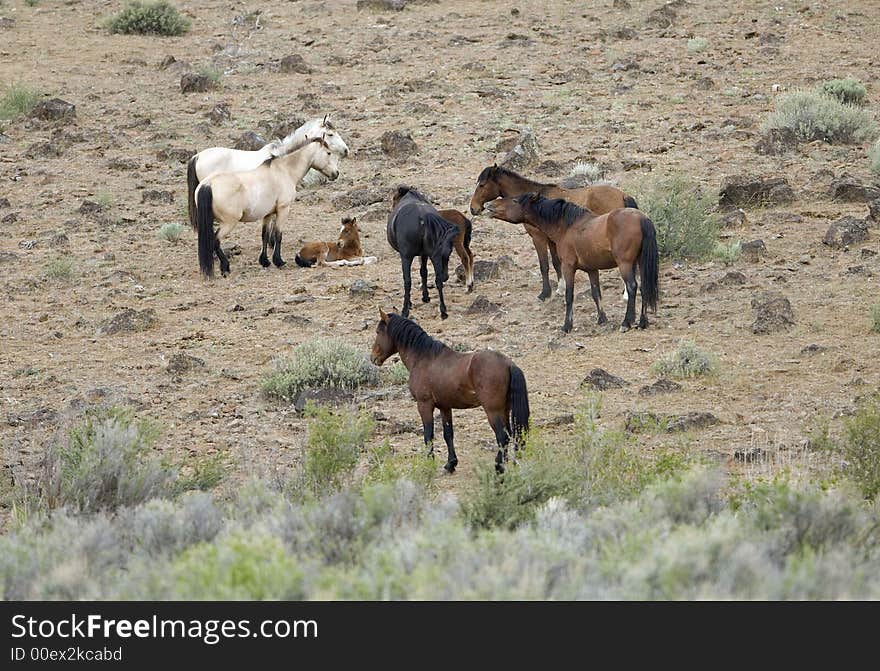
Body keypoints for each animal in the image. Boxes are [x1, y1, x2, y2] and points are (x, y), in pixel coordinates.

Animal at [194, 135, 338, 276]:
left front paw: (265, 261)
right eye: (329, 153)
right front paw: (279, 261)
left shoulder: (268, 214)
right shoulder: (283, 210)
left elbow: (265, 236)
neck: (284, 171)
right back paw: (225, 267)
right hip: (228, 223)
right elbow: (278, 235)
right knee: (215, 240)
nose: (336, 173)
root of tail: (208, 184)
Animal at [372, 312, 528, 476]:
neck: (424, 358)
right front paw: (451, 464)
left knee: (502, 437)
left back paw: (499, 468)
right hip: (504, 410)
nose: (373, 357)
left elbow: (428, 435)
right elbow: (448, 434)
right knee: (509, 435)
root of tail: (509, 364)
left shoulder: (424, 405)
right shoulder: (445, 407)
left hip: (493, 411)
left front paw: (429, 463)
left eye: (378, 332)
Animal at [390, 184, 460, 320]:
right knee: (438, 280)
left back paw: (405, 310)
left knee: (407, 281)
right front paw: (426, 296)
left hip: (407, 257)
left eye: (394, 198)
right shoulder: (425, 254)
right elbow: (424, 272)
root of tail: (422, 215)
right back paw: (443, 311)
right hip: (435, 255)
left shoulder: (408, 255)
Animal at [468, 164, 640, 300]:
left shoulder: (538, 238)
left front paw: (545, 293)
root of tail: (623, 195)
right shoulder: (552, 240)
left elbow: (544, 265)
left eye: (482, 185)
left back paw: (626, 294)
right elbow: (556, 263)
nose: (473, 208)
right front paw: (560, 289)